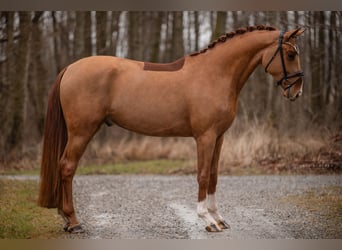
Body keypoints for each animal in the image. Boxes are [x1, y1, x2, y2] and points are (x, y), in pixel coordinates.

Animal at [37, 25, 304, 232]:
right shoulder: (205, 137)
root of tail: (70, 68)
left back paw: (66, 219)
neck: (215, 73)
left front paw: (218, 218)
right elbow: (203, 175)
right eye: (290, 54)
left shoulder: (219, 137)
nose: (297, 91)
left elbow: (214, 175)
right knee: (67, 167)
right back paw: (74, 222)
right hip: (82, 131)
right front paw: (207, 220)